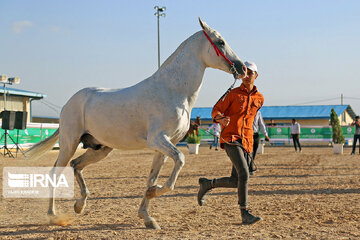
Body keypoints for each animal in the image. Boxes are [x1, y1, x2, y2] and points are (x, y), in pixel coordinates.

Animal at [25, 18, 248, 229]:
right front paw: (153, 195)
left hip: (100, 148)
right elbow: (181, 159)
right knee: (56, 172)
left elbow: (153, 177)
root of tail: (69, 103)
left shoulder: (162, 147)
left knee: (76, 165)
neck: (172, 90)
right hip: (69, 144)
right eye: (221, 41)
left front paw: (148, 216)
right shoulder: (157, 140)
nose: (242, 68)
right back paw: (53, 215)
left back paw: (79, 206)